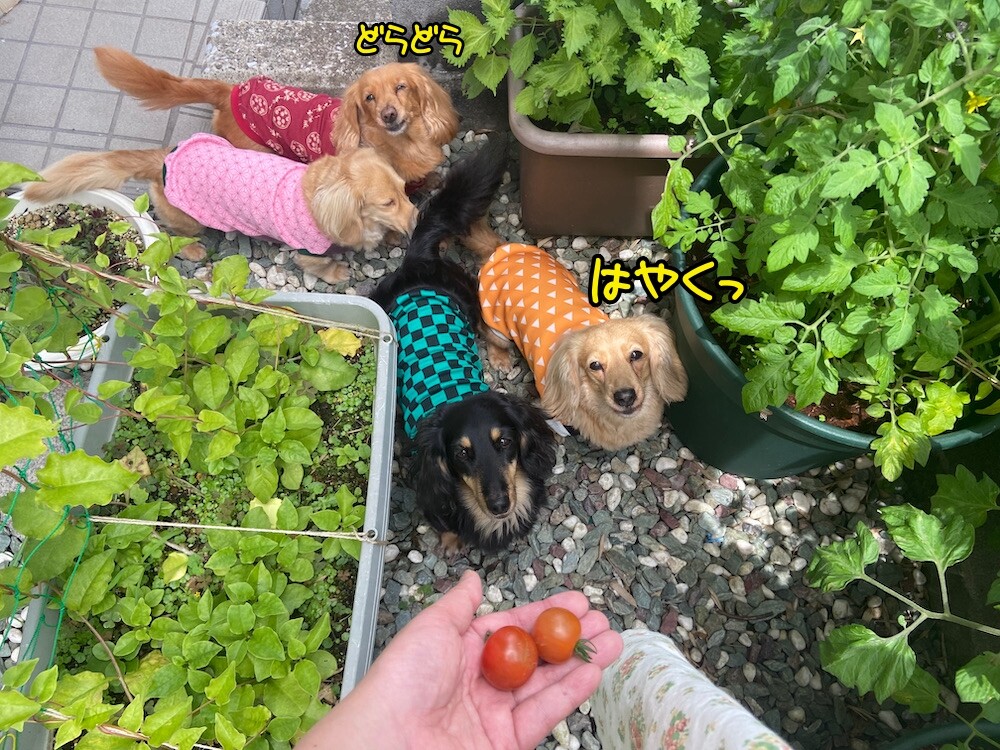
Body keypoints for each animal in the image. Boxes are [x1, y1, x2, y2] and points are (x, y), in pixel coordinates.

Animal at [20, 132, 417, 280]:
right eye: (387, 201)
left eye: (403, 190)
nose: (417, 217)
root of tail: (165, 159)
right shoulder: (308, 251)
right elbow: (320, 265)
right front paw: (337, 272)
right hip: (189, 220)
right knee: (168, 231)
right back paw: (192, 249)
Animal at [93, 48, 460, 187]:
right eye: (369, 97)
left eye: (401, 87)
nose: (389, 114)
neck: (401, 143)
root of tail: (230, 92)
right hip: (260, 149)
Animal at [371, 136, 556, 554]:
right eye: (461, 454)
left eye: (505, 442)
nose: (500, 505)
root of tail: (419, 260)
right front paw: (451, 540)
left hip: (471, 297)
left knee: (489, 329)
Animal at [472, 240, 689, 452]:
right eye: (595, 365)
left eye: (636, 354)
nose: (625, 397)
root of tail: (504, 248)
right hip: (498, 327)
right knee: (486, 331)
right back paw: (500, 358)